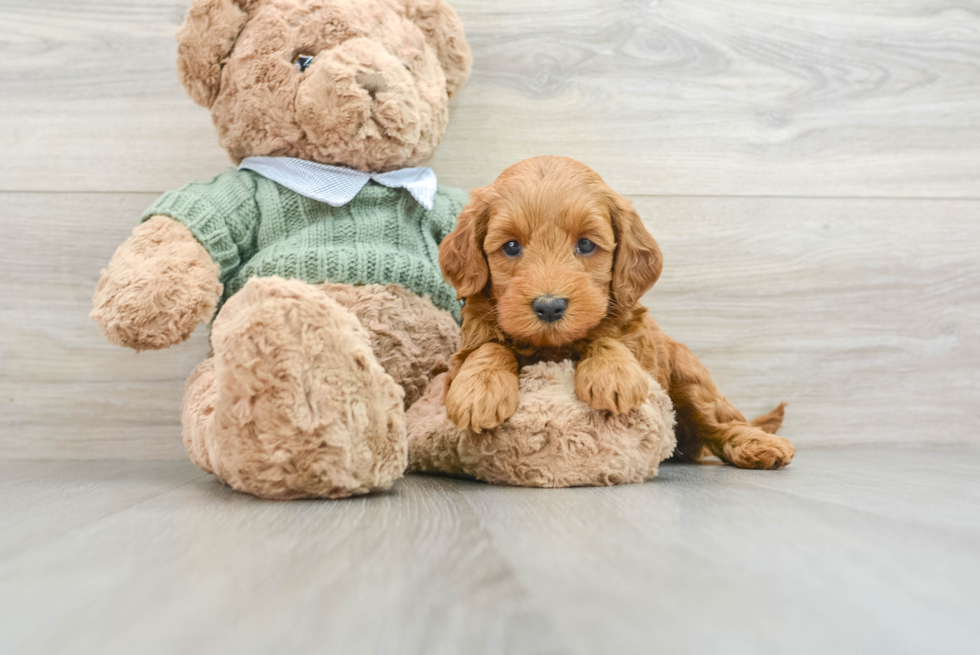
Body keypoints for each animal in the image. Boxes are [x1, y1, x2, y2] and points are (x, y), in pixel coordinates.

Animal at [440, 156, 792, 468]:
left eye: (585, 245)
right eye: (511, 247)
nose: (550, 307)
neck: (553, 347)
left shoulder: (640, 344)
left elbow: (610, 339)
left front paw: (613, 374)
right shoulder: (465, 348)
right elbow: (488, 348)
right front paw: (480, 389)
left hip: (688, 374)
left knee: (719, 421)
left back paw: (756, 444)